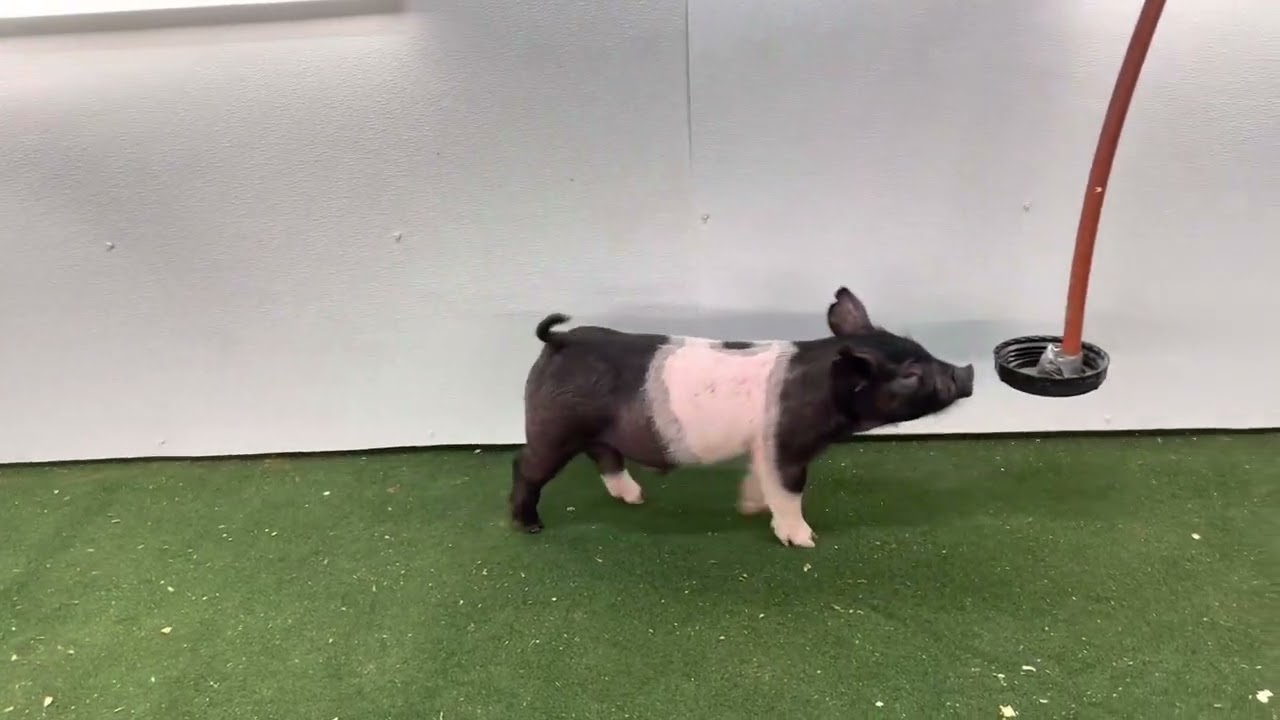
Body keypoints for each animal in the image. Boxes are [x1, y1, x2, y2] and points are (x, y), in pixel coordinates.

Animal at [509, 286, 974, 548]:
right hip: (553, 425)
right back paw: (529, 527)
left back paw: (636, 498)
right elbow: (789, 491)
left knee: (604, 456)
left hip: (592, 430)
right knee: (526, 466)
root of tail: (560, 340)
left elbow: (760, 478)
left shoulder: (763, 447)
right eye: (910, 374)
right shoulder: (786, 445)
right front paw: (805, 541)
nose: (967, 371)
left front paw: (749, 508)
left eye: (921, 350)